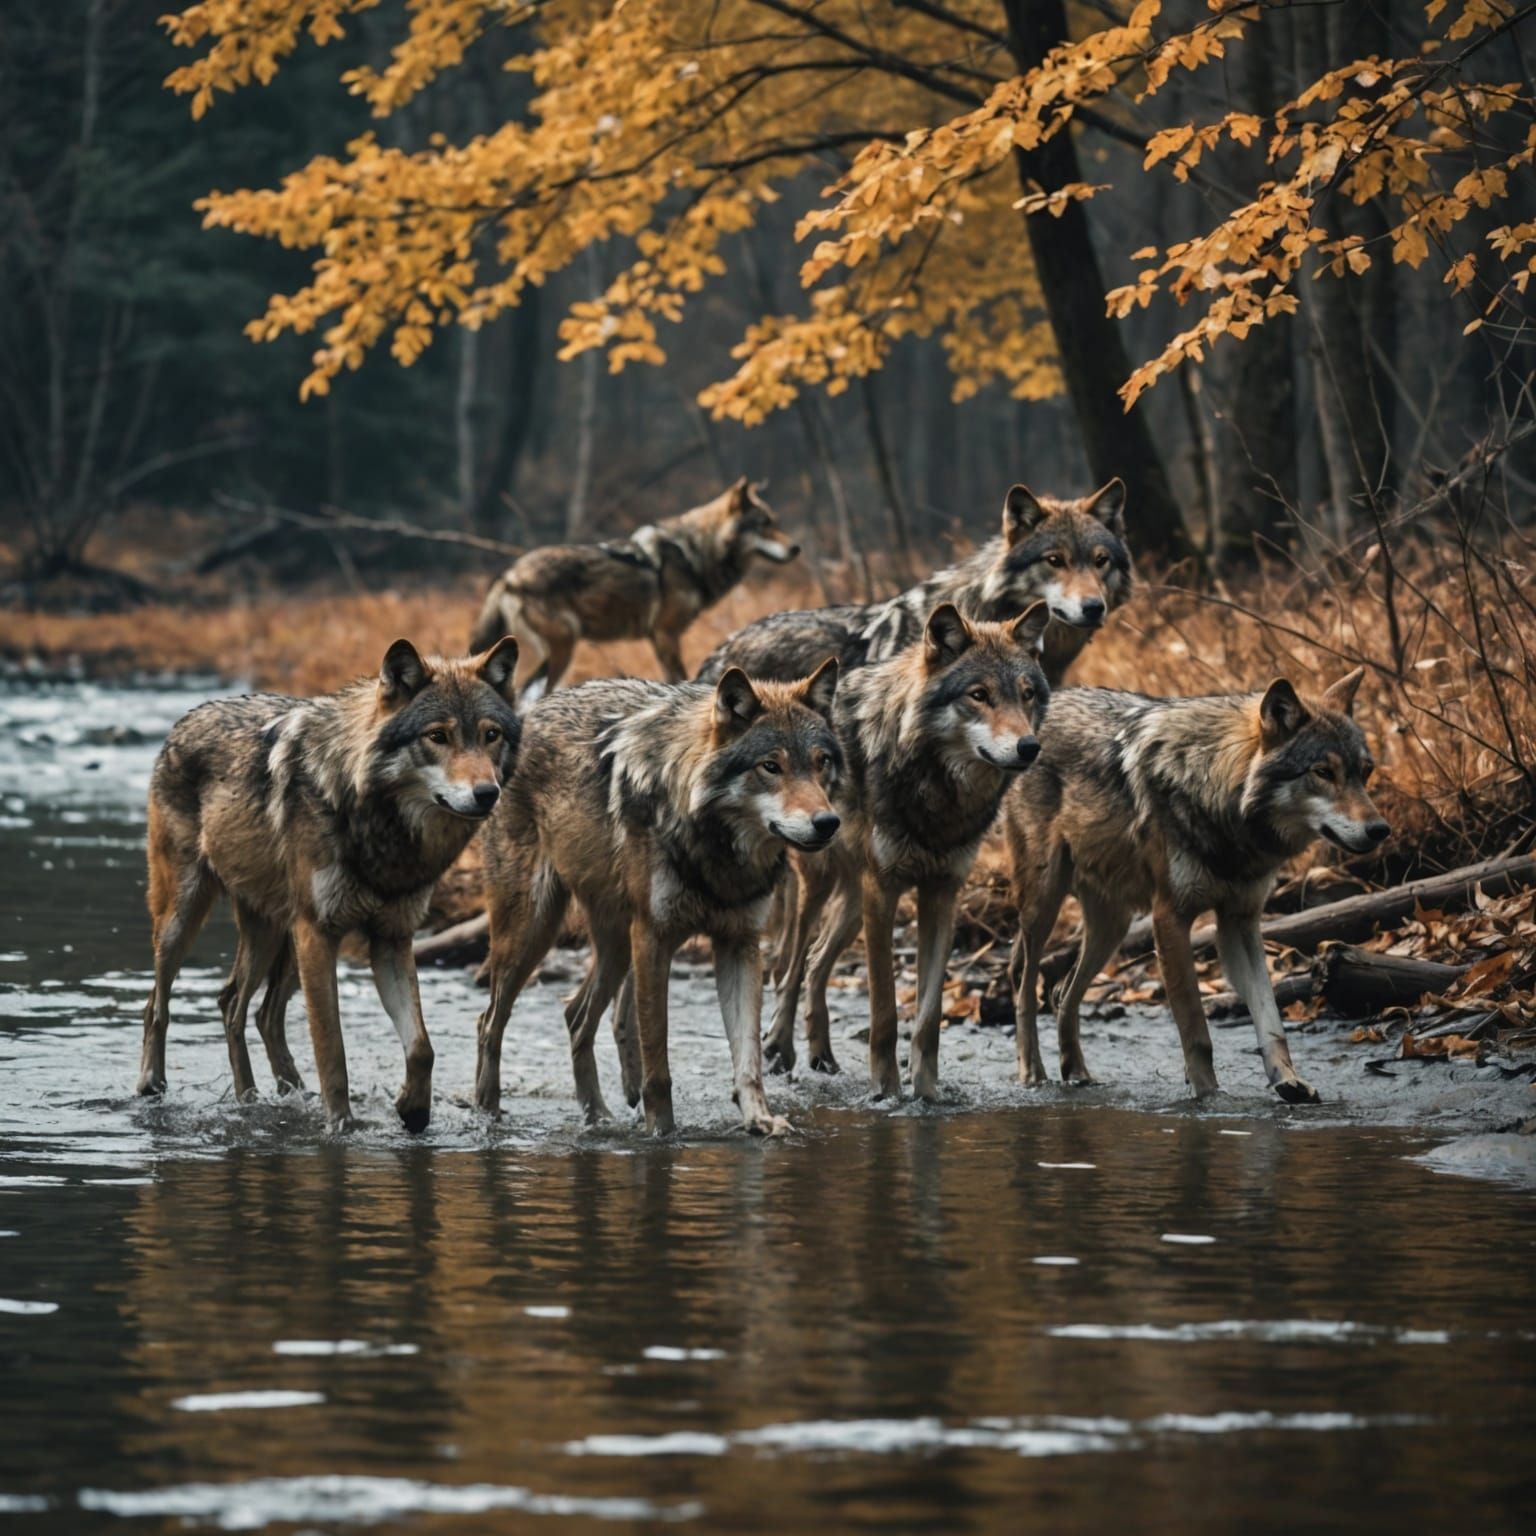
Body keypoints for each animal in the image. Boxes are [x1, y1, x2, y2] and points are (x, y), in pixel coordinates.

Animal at [139, 637, 521, 1133]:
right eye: (437, 736)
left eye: (491, 735)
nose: (487, 794)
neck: (380, 825)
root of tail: (185, 719)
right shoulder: (318, 934)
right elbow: (332, 1051)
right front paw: (340, 1126)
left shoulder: (391, 938)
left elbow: (421, 1047)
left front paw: (413, 1110)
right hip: (186, 918)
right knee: (159, 1003)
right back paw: (153, 1084)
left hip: (275, 935)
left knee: (241, 1005)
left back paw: (258, 1096)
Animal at [470, 477, 799, 691]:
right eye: (764, 525)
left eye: (775, 521)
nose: (796, 548)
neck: (694, 553)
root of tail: (508, 575)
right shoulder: (665, 635)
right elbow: (678, 678)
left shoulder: (660, 638)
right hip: (563, 650)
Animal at [473, 661, 842, 1135]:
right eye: (770, 766)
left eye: (821, 762)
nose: (828, 823)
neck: (715, 845)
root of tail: (526, 716)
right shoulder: (653, 939)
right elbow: (656, 1059)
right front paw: (662, 1132)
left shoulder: (740, 944)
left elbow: (748, 1055)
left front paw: (760, 1119)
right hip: (532, 933)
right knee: (489, 1021)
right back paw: (487, 1109)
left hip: (615, 945)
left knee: (576, 1016)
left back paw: (596, 1115)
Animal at [766, 603, 1051, 1100]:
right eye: (979, 695)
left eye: (1027, 694)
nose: (1028, 747)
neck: (940, 792)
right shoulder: (884, 891)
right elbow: (884, 1009)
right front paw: (886, 1092)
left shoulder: (942, 893)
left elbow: (929, 1015)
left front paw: (928, 1093)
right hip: (823, 887)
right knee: (791, 968)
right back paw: (779, 1048)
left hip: (854, 902)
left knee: (817, 962)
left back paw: (821, 1053)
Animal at [1005, 668, 1387, 1103]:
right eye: (1323, 772)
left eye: (1365, 772)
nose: (1380, 830)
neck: (1224, 806)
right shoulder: (1170, 918)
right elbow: (1195, 1028)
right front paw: (1207, 1093)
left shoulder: (1240, 922)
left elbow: (1270, 1018)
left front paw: (1289, 1080)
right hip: (1043, 904)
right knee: (1025, 987)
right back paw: (1032, 1072)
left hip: (1113, 926)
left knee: (1063, 992)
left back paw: (1077, 1071)